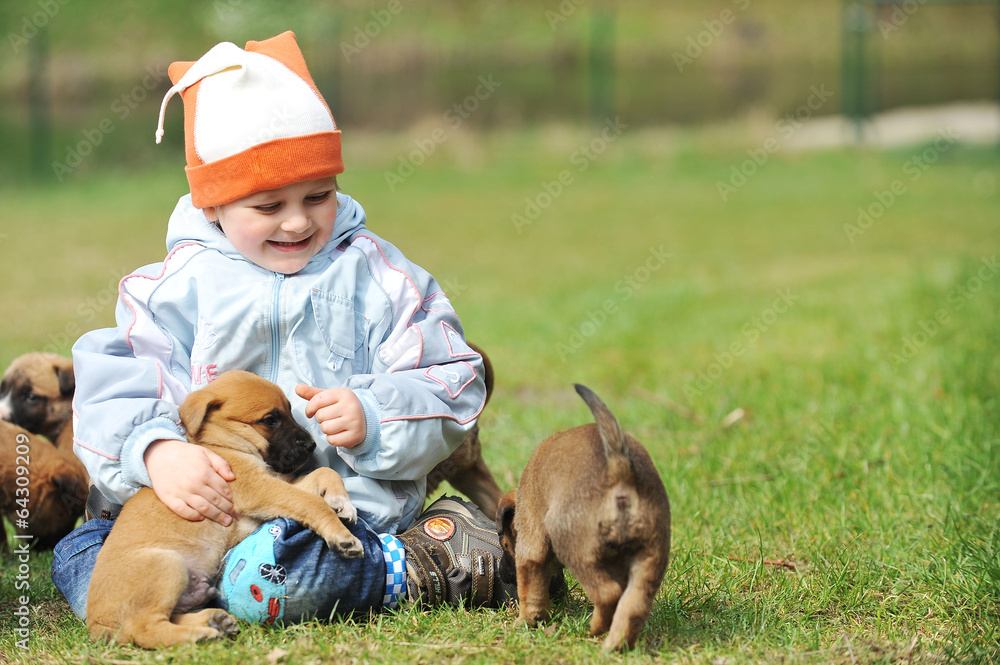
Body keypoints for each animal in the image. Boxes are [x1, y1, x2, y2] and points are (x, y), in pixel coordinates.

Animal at [87, 370, 364, 644]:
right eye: (270, 420)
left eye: (288, 411)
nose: (311, 446)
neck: (224, 443)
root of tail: (95, 623)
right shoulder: (259, 489)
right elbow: (312, 502)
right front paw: (341, 535)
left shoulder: (274, 482)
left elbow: (324, 472)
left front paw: (341, 502)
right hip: (167, 563)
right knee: (144, 628)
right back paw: (199, 634)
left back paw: (212, 622)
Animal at [494, 384, 668, 648]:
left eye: (505, 545)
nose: (502, 572)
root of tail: (619, 469)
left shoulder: (531, 549)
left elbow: (530, 589)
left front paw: (527, 621)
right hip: (650, 559)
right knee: (632, 606)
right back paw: (614, 645)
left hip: (577, 549)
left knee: (607, 593)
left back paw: (596, 628)